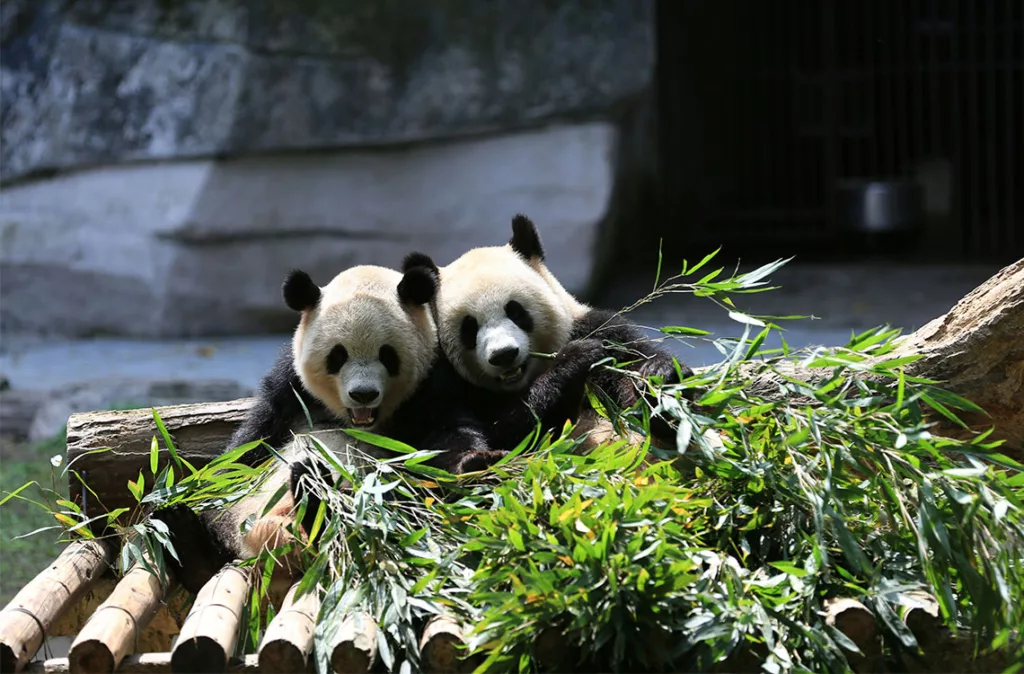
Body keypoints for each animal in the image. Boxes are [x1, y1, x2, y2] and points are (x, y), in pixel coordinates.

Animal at [152, 263, 497, 595]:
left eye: (387, 355)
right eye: (338, 355)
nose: (363, 394)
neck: (358, 421)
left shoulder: (432, 380)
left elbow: (447, 438)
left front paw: (476, 462)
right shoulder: (289, 385)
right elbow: (249, 445)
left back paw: (316, 497)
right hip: (246, 513)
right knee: (222, 525)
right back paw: (189, 541)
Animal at [402, 214, 694, 453]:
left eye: (516, 311)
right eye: (469, 327)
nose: (504, 355)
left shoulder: (601, 330)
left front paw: (658, 380)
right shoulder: (438, 380)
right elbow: (507, 435)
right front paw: (575, 359)